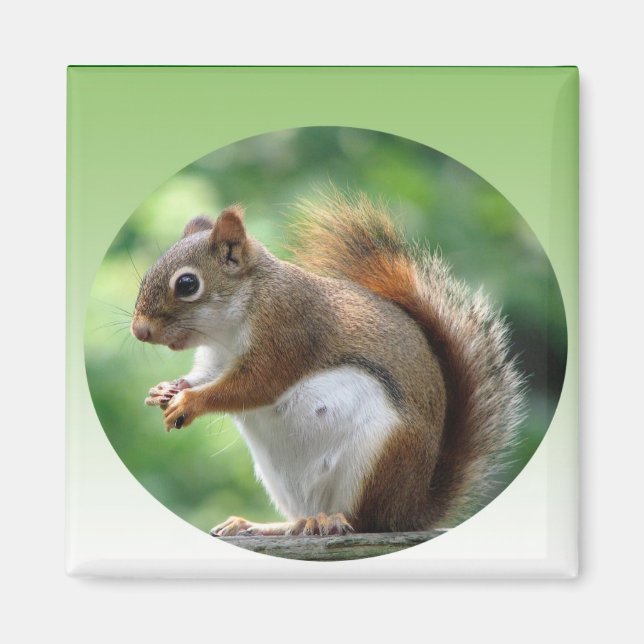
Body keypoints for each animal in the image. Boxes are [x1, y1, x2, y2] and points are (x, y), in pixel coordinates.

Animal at [130, 191, 525, 536]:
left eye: (187, 283)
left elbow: (255, 386)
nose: (139, 330)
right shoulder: (215, 360)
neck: (227, 327)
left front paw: (189, 402)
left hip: (378, 457)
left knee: (367, 521)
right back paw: (270, 525)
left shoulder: (287, 331)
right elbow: (205, 377)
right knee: (301, 519)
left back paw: (332, 521)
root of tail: (411, 509)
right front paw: (164, 390)